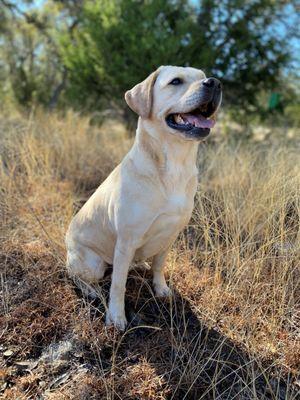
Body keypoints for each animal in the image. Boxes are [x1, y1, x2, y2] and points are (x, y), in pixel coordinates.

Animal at [66, 65, 220, 328]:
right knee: (79, 278)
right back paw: (91, 291)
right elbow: (118, 285)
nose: (215, 83)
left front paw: (161, 288)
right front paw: (117, 317)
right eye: (175, 81)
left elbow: (159, 265)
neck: (175, 165)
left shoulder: (171, 234)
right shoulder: (126, 241)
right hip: (92, 263)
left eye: (202, 76)